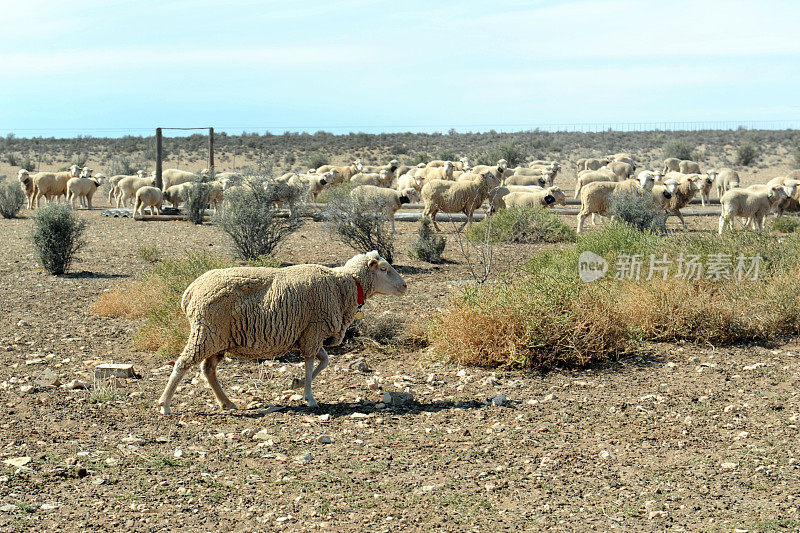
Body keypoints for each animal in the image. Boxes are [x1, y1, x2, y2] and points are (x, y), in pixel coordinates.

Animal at [158, 251, 406, 414]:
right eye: (384, 269)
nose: (405, 286)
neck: (344, 285)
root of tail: (190, 291)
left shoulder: (309, 333)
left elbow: (324, 361)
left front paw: (297, 383)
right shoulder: (314, 330)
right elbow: (311, 363)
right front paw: (309, 397)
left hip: (218, 338)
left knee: (208, 369)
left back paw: (226, 402)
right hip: (206, 332)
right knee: (182, 364)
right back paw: (165, 404)